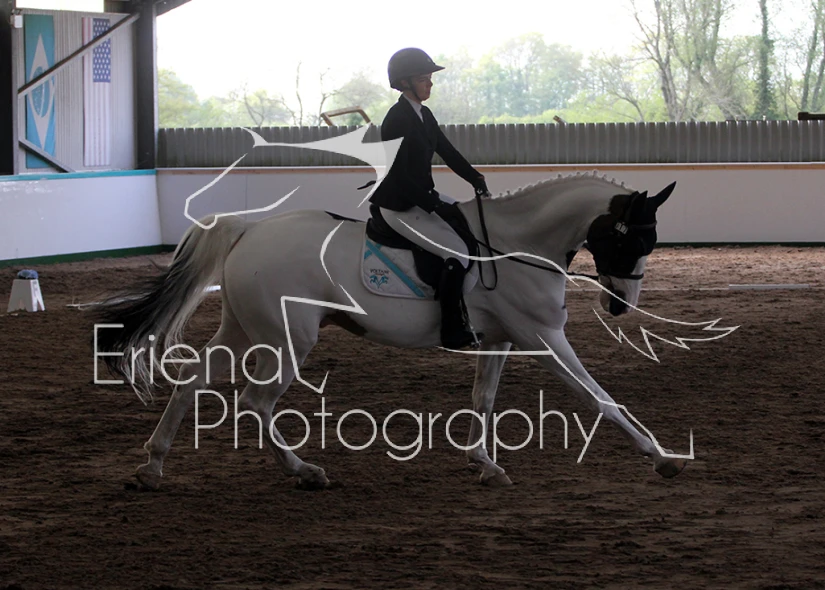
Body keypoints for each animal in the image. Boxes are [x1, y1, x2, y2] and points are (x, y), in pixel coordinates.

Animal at [93, 171, 684, 490]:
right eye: (635, 240)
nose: (620, 307)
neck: (517, 244)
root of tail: (250, 229)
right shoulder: (542, 337)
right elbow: (599, 398)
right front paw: (662, 458)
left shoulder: (499, 338)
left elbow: (483, 398)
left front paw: (485, 465)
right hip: (286, 340)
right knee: (255, 402)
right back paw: (305, 470)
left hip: (242, 328)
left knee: (193, 381)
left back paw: (152, 465)